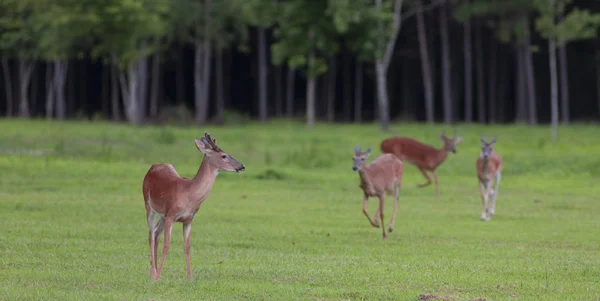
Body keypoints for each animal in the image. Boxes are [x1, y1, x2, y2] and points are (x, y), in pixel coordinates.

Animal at [142, 131, 245, 278]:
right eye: (224, 156)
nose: (242, 166)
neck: (189, 194)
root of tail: (153, 166)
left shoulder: (189, 219)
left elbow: (187, 247)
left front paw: (190, 277)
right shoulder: (171, 215)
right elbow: (167, 246)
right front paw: (159, 277)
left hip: (162, 214)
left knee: (156, 233)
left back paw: (154, 270)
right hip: (149, 206)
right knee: (151, 236)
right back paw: (153, 274)